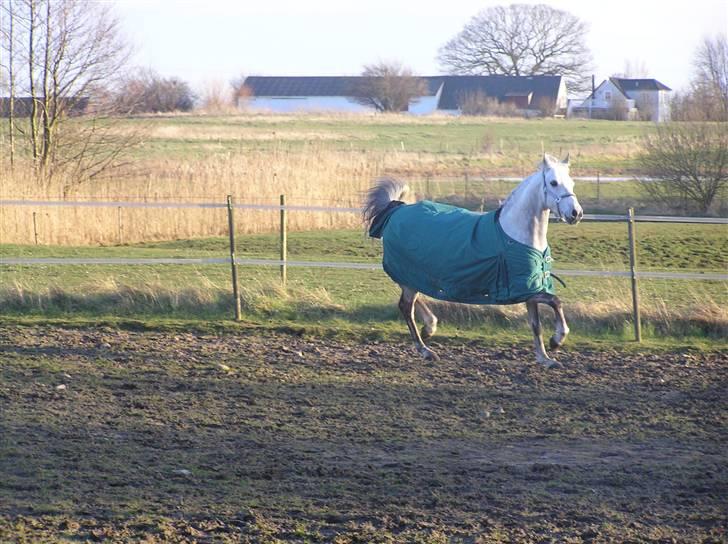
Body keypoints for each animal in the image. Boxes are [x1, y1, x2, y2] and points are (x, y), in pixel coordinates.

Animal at [364, 153, 584, 368]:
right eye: (553, 182)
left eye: (572, 182)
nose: (576, 213)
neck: (516, 236)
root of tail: (396, 210)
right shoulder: (525, 288)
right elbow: (556, 301)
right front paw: (557, 340)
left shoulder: (529, 289)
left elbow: (536, 325)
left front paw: (545, 358)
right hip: (408, 273)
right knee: (406, 307)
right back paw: (426, 350)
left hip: (415, 276)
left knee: (411, 300)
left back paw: (430, 327)